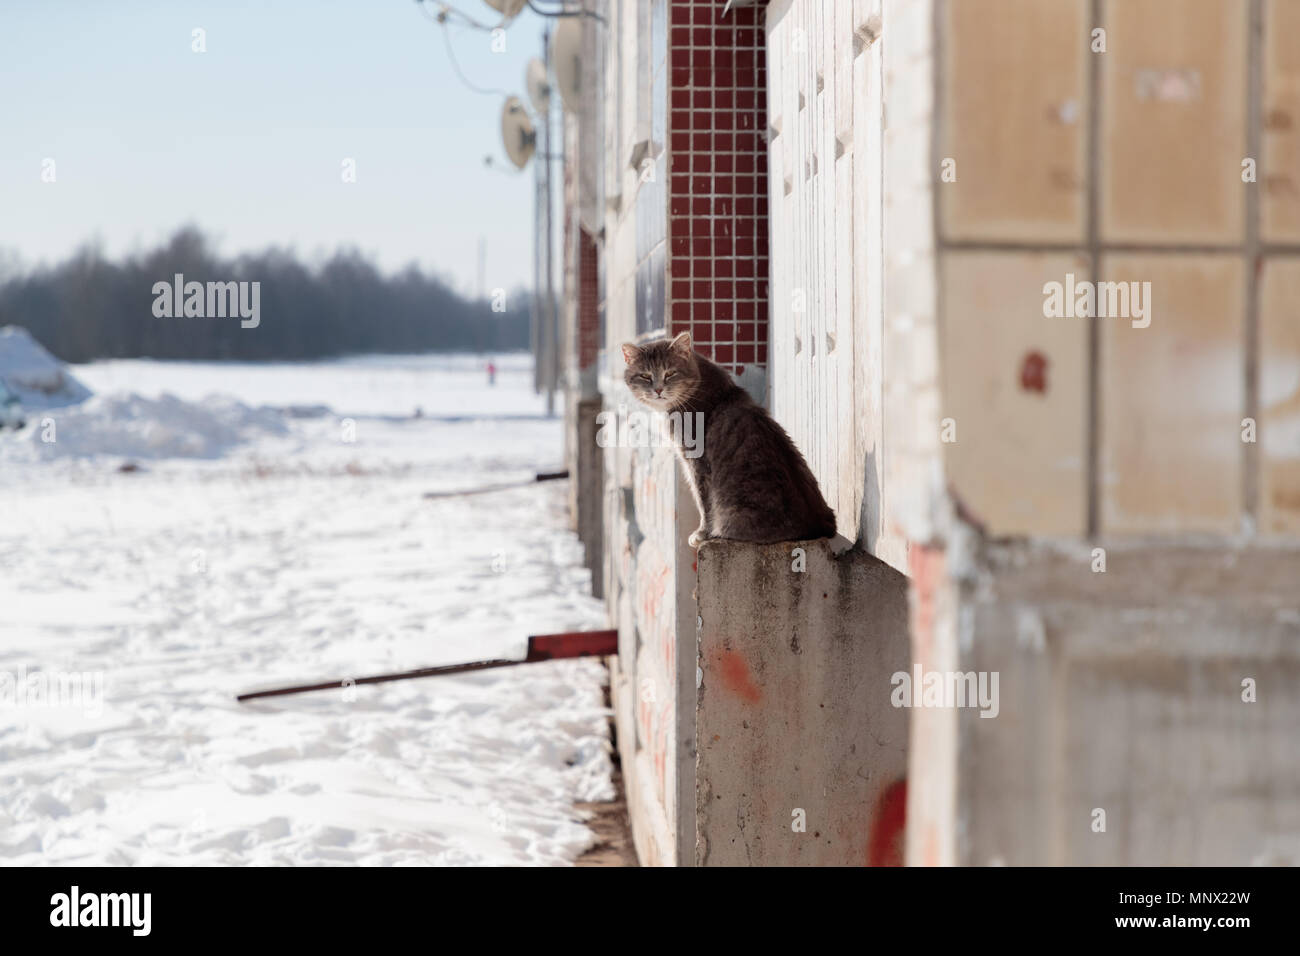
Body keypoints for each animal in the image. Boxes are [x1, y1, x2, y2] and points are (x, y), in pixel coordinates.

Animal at [616, 332, 832, 548]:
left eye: (670, 373)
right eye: (645, 376)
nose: (658, 390)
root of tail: (818, 527)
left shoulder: (697, 463)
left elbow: (704, 502)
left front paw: (702, 533)